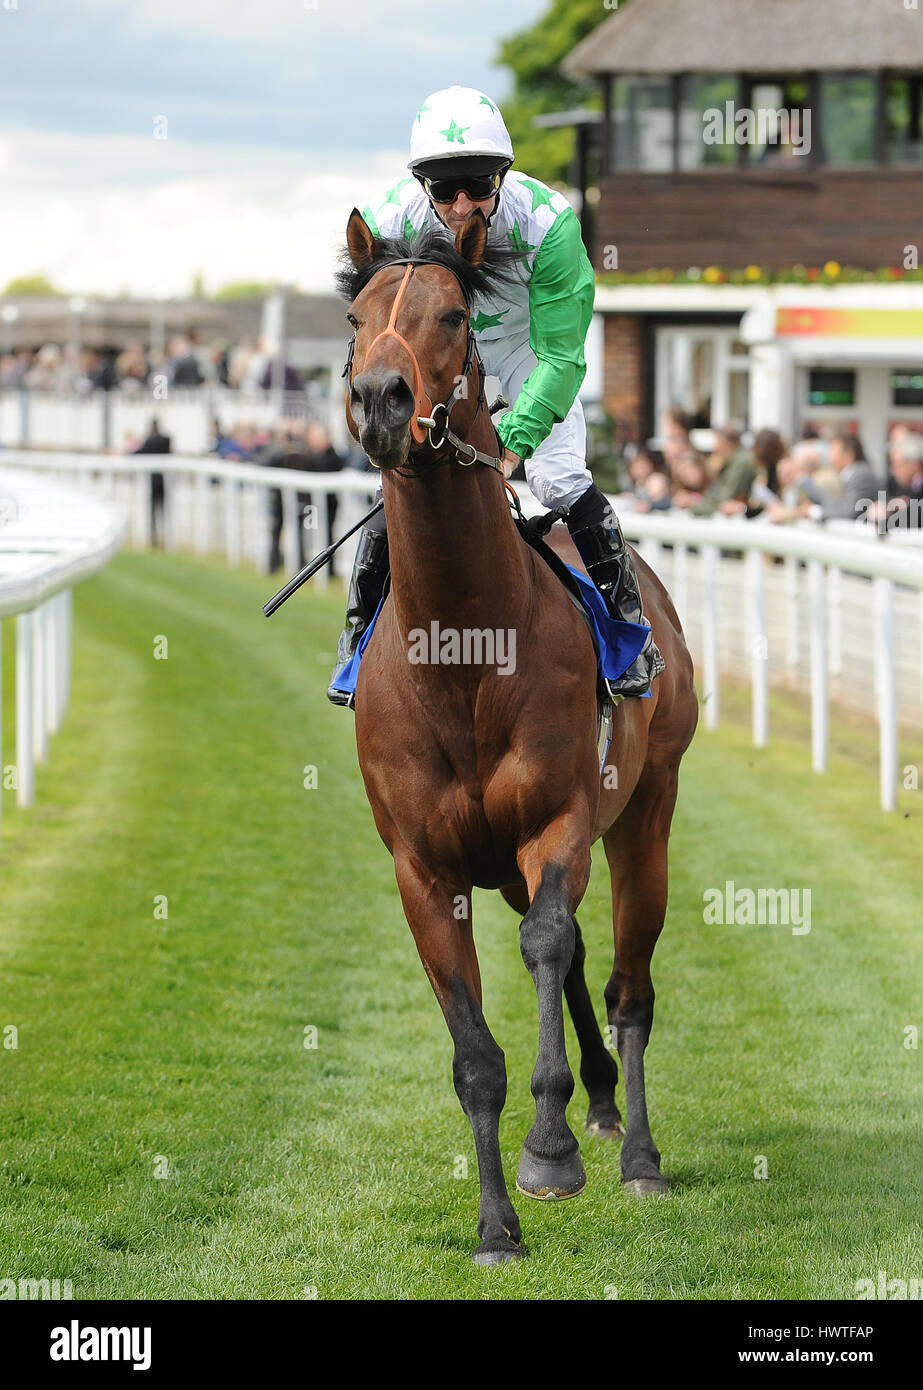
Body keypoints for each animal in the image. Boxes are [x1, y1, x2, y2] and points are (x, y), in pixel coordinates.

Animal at [340, 202, 700, 1262]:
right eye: (355, 321)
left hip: (646, 812)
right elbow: (474, 1054)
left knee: (625, 984)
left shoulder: (559, 820)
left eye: (455, 315)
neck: (464, 652)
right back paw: (604, 1106)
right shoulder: (424, 866)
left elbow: (546, 946)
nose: (380, 400)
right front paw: (496, 1222)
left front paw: (550, 1149)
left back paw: (637, 1151)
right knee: (581, 957)